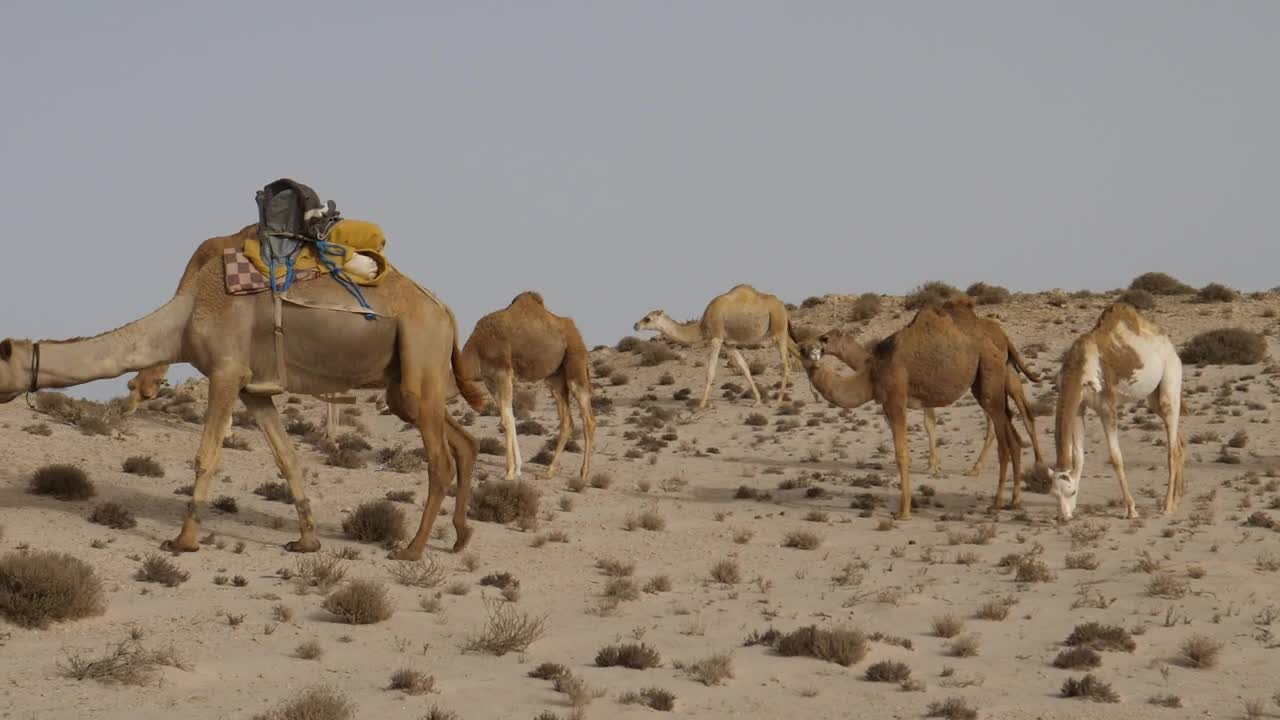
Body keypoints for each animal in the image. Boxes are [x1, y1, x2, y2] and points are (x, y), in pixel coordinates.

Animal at [0, 221, 486, 558]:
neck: (184, 317)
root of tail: (445, 310)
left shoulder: (226, 372)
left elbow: (206, 456)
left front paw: (183, 540)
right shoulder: (256, 389)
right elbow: (288, 459)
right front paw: (307, 542)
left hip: (419, 350)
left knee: (440, 460)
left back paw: (413, 549)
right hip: (401, 382)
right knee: (463, 441)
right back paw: (461, 536)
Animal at [458, 292, 596, 481]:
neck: (476, 349)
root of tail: (575, 330)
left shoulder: (502, 372)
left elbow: (507, 420)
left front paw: (510, 472)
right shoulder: (489, 380)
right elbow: (507, 418)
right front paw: (514, 469)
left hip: (576, 364)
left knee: (588, 419)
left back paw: (584, 473)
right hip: (555, 378)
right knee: (567, 421)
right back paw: (548, 471)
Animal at [629, 283, 788, 412]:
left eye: (648, 318)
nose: (635, 325)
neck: (702, 326)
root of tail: (781, 305)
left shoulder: (716, 339)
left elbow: (710, 372)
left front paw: (700, 406)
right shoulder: (729, 344)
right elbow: (744, 368)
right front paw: (757, 401)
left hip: (779, 330)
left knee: (787, 364)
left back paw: (778, 402)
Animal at [793, 294, 1024, 517]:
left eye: (824, 339)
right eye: (803, 349)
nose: (811, 350)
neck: (871, 371)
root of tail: (1003, 338)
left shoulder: (896, 400)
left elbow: (902, 453)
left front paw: (904, 512)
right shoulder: (890, 404)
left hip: (989, 374)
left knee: (1003, 440)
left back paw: (996, 502)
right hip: (986, 382)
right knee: (1012, 435)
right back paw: (1014, 501)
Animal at [1049, 299, 1187, 517]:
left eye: (1070, 492)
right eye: (1054, 494)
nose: (1063, 517)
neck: (1079, 369)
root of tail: (1170, 346)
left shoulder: (1107, 406)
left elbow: (1116, 458)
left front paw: (1131, 509)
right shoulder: (1079, 408)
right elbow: (1078, 457)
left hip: (1171, 379)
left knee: (1171, 449)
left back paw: (1167, 506)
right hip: (1153, 398)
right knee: (1178, 442)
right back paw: (1178, 498)